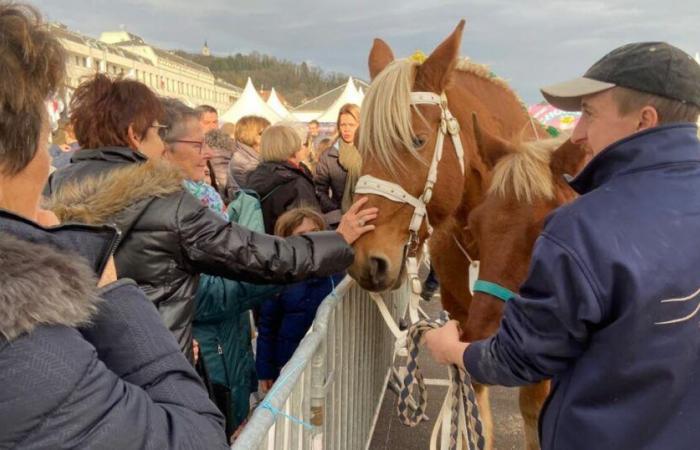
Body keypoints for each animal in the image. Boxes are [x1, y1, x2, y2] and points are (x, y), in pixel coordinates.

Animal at [348, 20, 560, 450]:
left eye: (416, 139)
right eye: (360, 142)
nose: (367, 261)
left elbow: (533, 408)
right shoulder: (465, 319)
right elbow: (471, 401)